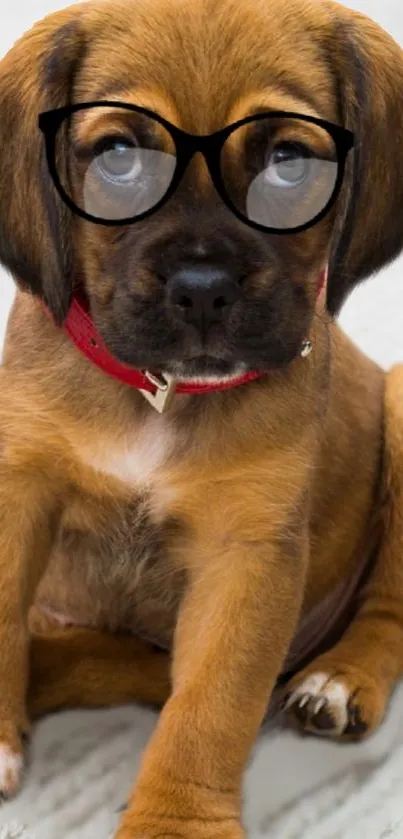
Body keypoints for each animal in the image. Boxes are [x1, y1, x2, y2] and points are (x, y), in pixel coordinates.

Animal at [0, 0, 403, 836]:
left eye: (288, 161)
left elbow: (210, 708)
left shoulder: (245, 553)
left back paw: (341, 677)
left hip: (402, 396)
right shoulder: (16, 491)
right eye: (117, 157)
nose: (203, 289)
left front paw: (174, 823)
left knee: (388, 604)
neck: (159, 395)